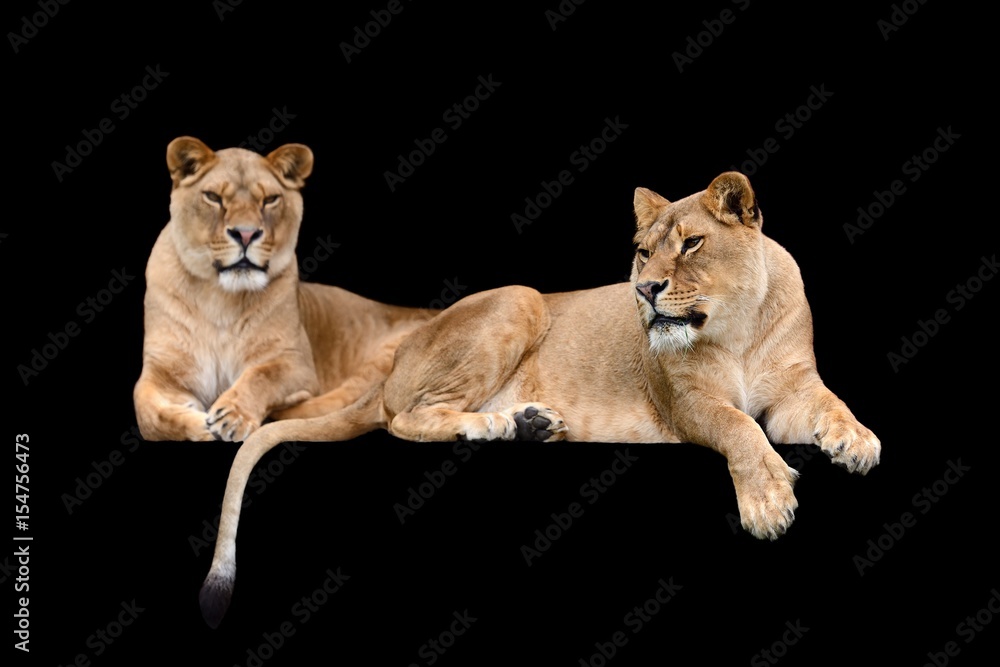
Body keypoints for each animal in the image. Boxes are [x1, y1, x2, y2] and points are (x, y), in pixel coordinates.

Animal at [133, 136, 435, 442]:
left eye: (270, 200)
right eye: (213, 197)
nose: (245, 234)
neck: (220, 297)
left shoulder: (297, 362)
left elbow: (263, 375)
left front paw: (230, 417)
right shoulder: (160, 366)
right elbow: (145, 410)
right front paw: (199, 426)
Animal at [197, 171, 881, 627]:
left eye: (692, 244)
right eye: (642, 252)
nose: (645, 288)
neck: (737, 327)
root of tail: (396, 359)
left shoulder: (793, 392)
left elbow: (830, 406)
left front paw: (857, 442)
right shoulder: (687, 404)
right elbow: (739, 427)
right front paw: (768, 502)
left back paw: (528, 423)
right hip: (520, 298)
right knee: (403, 420)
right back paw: (495, 425)